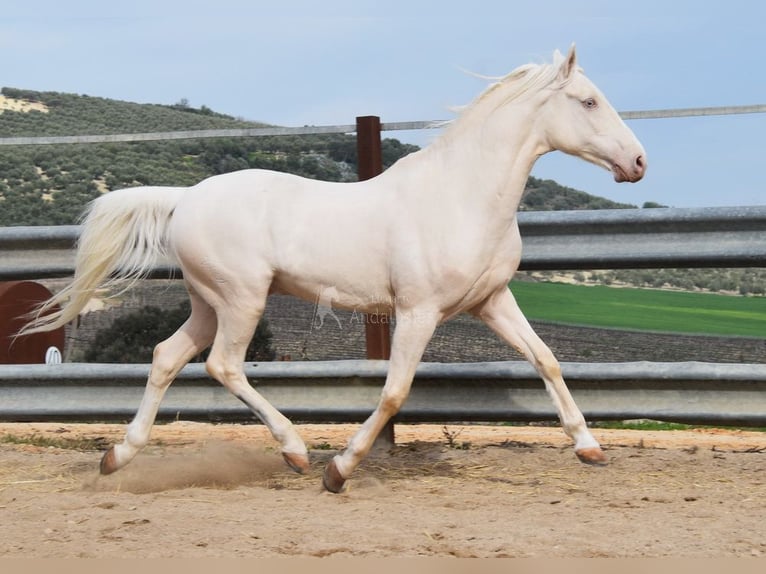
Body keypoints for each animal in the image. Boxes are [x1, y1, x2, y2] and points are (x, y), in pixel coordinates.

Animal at [21, 46, 648, 496]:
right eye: (588, 102)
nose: (638, 162)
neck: (461, 196)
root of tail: (186, 198)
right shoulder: (418, 311)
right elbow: (395, 392)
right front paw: (339, 471)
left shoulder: (491, 301)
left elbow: (547, 359)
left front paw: (589, 446)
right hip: (242, 298)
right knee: (223, 365)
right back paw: (296, 452)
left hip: (208, 303)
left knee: (165, 356)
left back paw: (117, 456)